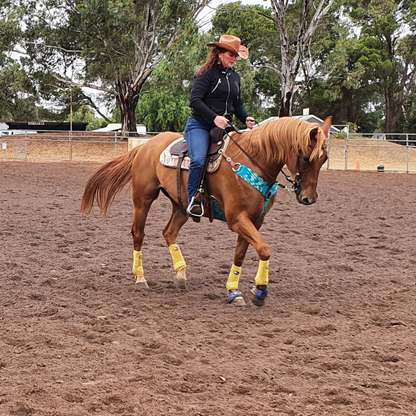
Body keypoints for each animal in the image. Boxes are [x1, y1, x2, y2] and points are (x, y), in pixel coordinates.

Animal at [79, 116, 330, 306]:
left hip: (182, 205)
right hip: (143, 199)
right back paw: (140, 278)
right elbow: (264, 249)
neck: (252, 161)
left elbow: (243, 254)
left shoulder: (254, 221)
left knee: (169, 232)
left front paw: (233, 290)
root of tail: (145, 146)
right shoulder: (236, 219)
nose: (309, 198)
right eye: (306, 157)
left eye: (324, 159)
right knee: (138, 234)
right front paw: (260, 290)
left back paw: (181, 273)